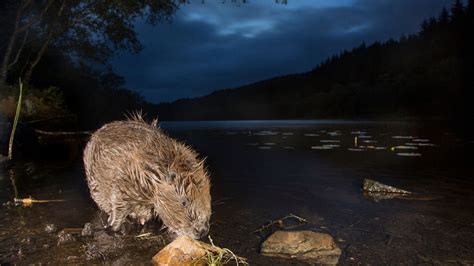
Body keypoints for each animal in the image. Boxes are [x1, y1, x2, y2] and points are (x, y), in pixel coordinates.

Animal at [83, 116, 211, 239]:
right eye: (184, 202)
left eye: (208, 199)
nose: (202, 231)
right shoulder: (123, 178)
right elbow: (118, 203)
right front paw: (113, 226)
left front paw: (142, 217)